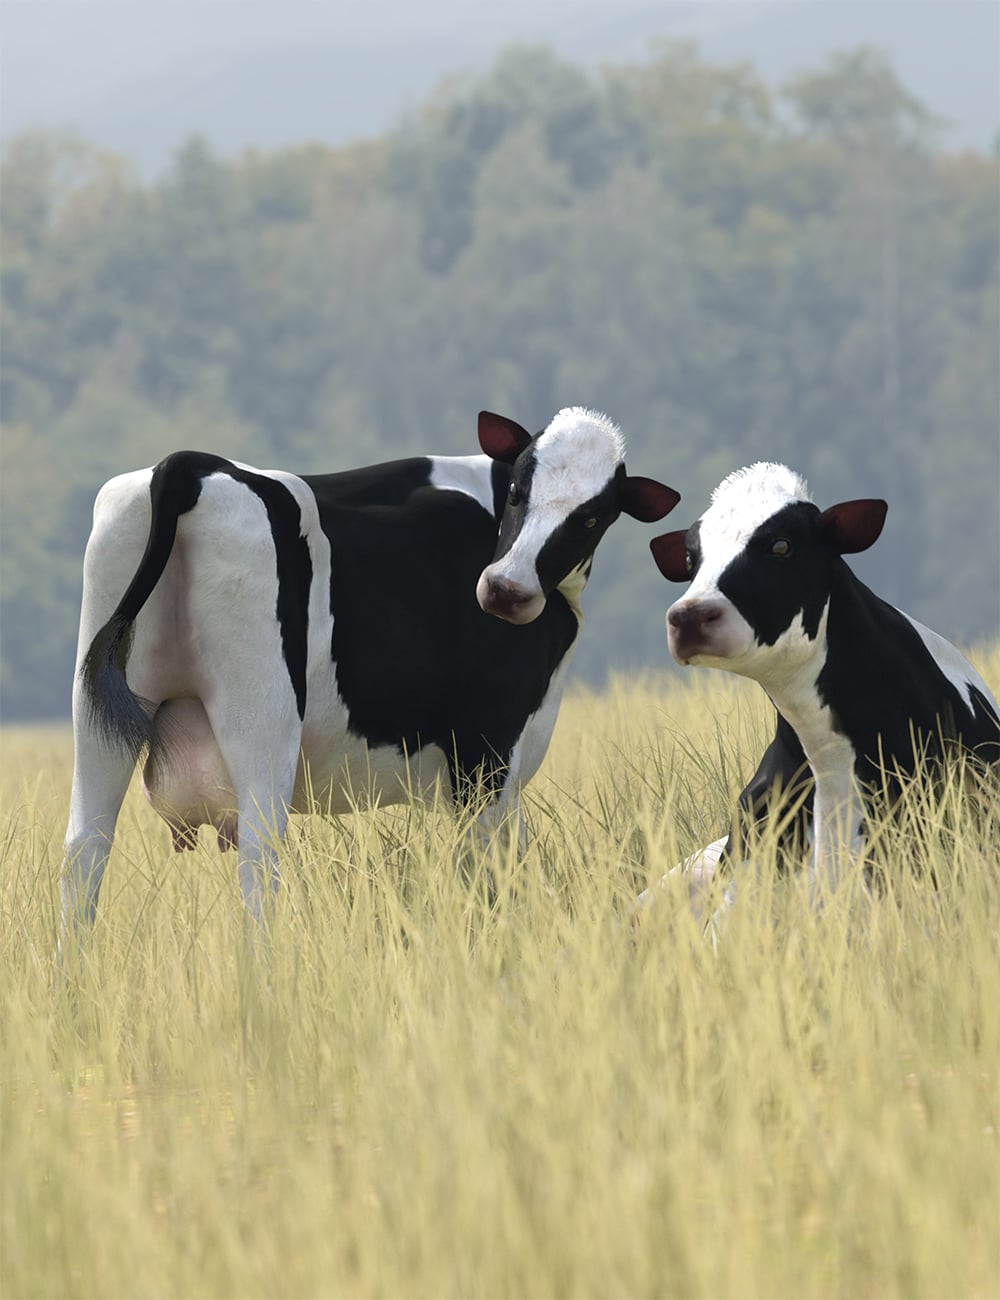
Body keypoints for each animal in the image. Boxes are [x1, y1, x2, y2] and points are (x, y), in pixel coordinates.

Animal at [61, 407, 679, 930]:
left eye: (593, 517)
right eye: (518, 490)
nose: (506, 590)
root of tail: (194, 465)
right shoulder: (488, 751)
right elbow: (495, 880)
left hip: (99, 712)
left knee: (84, 853)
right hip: (261, 717)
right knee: (260, 861)